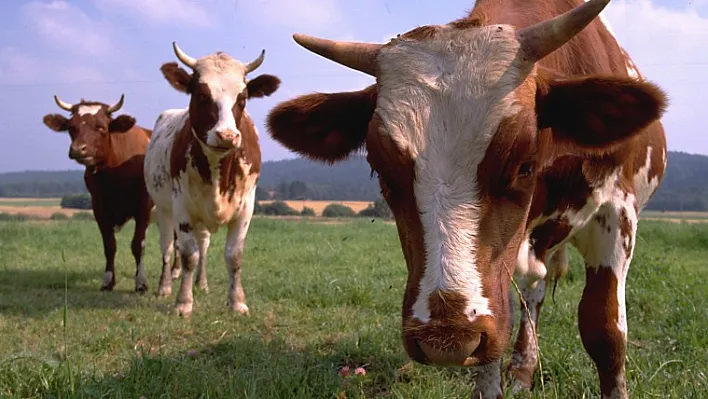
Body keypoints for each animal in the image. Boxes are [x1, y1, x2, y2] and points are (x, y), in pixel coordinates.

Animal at [43, 95, 162, 292]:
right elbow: (109, 245)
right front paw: (108, 281)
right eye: (71, 127)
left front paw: (141, 282)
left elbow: (138, 245)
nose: (78, 149)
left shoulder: (143, 207)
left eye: (101, 127)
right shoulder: (99, 208)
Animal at [145, 42, 280, 318]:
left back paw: (202, 283)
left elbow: (233, 255)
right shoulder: (182, 206)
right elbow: (188, 255)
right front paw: (183, 302)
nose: (227, 135)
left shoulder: (246, 206)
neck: (219, 169)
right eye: (201, 95)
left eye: (243, 98)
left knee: (204, 246)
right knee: (167, 248)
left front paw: (237, 301)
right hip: (163, 209)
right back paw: (165, 287)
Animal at [266, 1, 668, 398]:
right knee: (531, 292)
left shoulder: (617, 213)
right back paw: (522, 370)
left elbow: (605, 330)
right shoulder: (498, 273)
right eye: (381, 170)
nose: (447, 340)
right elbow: (498, 327)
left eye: (524, 165)